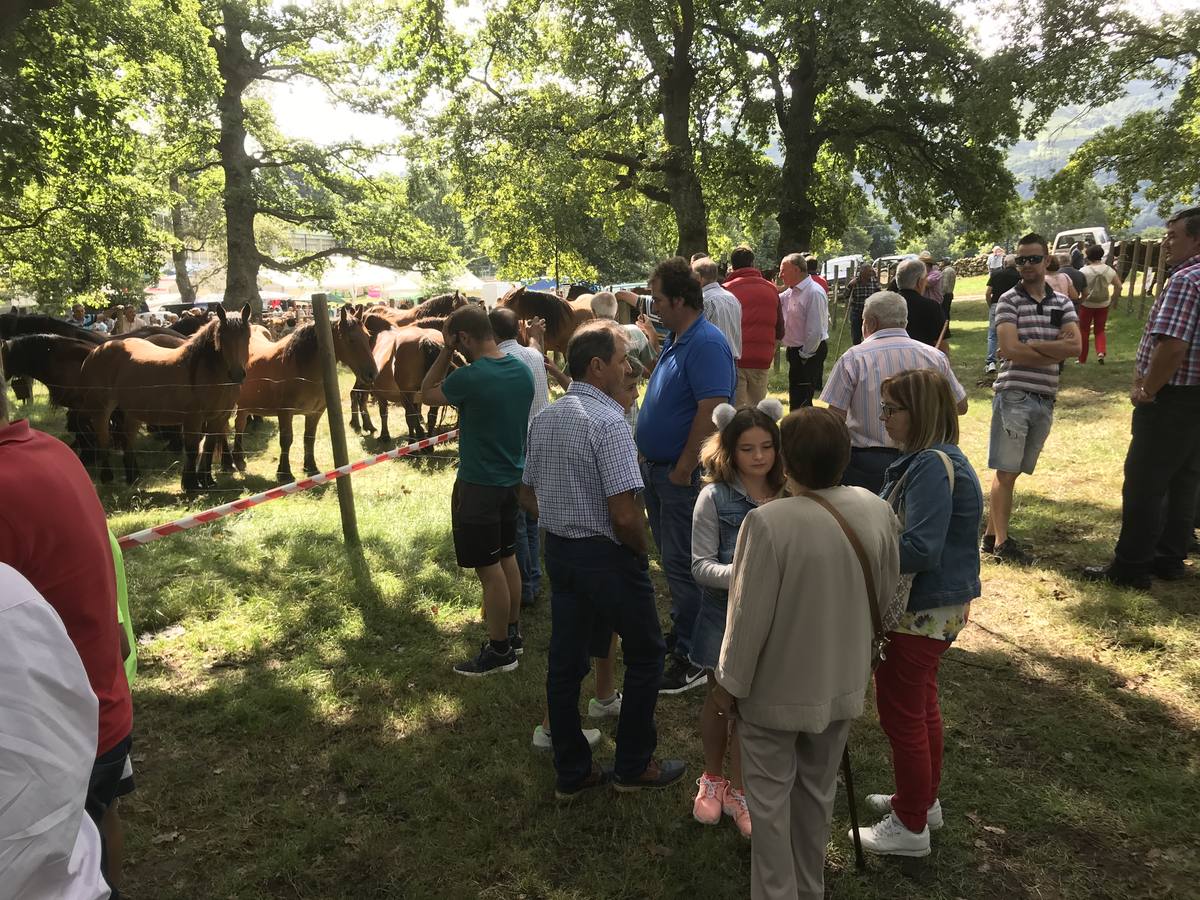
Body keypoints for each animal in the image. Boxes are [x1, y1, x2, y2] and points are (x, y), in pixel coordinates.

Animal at [79, 304, 250, 489]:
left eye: (247, 337)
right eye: (222, 338)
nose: (237, 374)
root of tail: (95, 351)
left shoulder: (218, 418)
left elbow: (208, 448)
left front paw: (207, 481)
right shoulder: (193, 419)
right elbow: (192, 449)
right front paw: (191, 484)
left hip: (133, 411)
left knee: (128, 440)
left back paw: (134, 476)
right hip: (101, 410)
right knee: (102, 438)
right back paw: (107, 477)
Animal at [231, 307, 376, 482]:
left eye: (368, 337)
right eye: (350, 340)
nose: (372, 374)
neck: (301, 368)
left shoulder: (315, 412)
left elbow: (309, 438)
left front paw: (311, 467)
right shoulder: (285, 413)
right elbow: (286, 440)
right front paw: (284, 473)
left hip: (244, 405)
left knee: (240, 425)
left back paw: (239, 460)